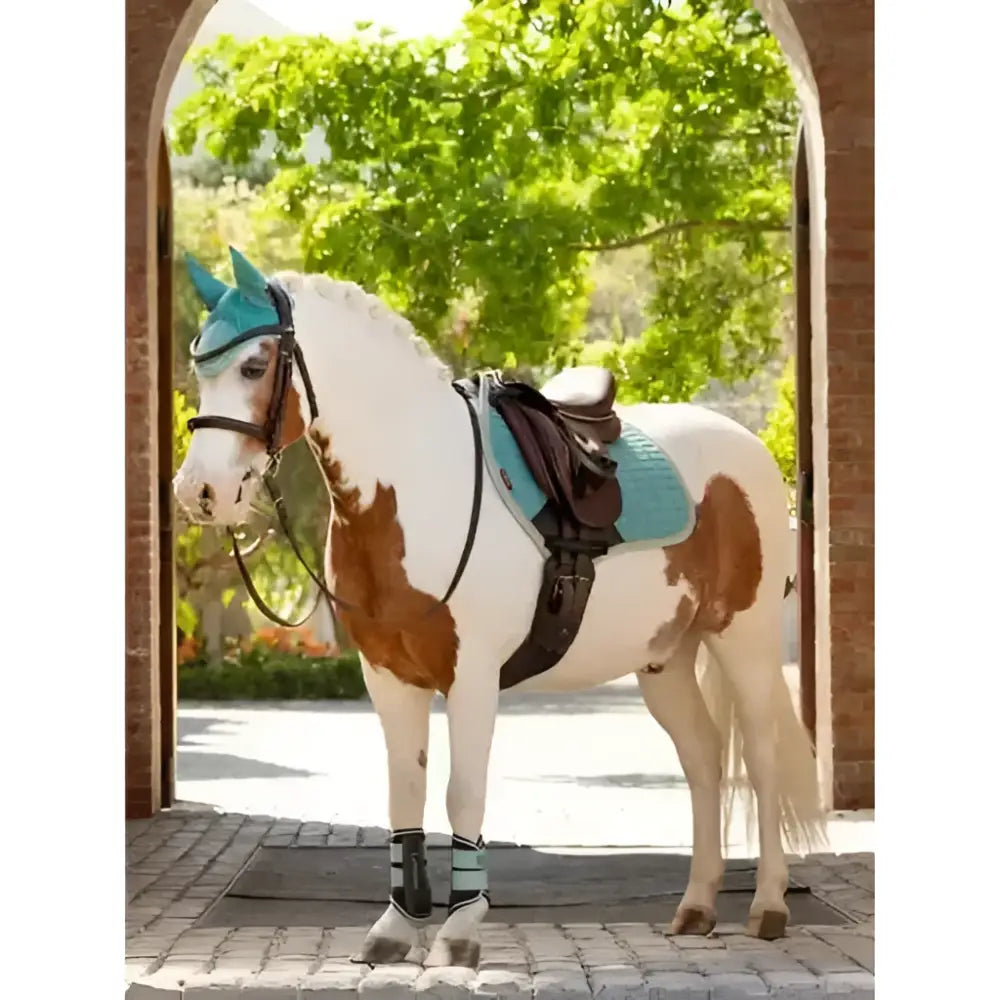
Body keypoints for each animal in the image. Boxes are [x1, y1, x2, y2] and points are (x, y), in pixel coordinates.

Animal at [174, 246, 826, 969]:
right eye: (199, 363)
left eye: (254, 365)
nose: (199, 492)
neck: (418, 481)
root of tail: (749, 448)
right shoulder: (388, 677)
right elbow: (406, 793)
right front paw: (396, 929)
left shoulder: (473, 677)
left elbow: (462, 792)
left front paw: (458, 934)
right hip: (666, 660)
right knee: (704, 761)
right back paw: (696, 908)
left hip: (745, 641)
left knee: (761, 758)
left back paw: (767, 907)